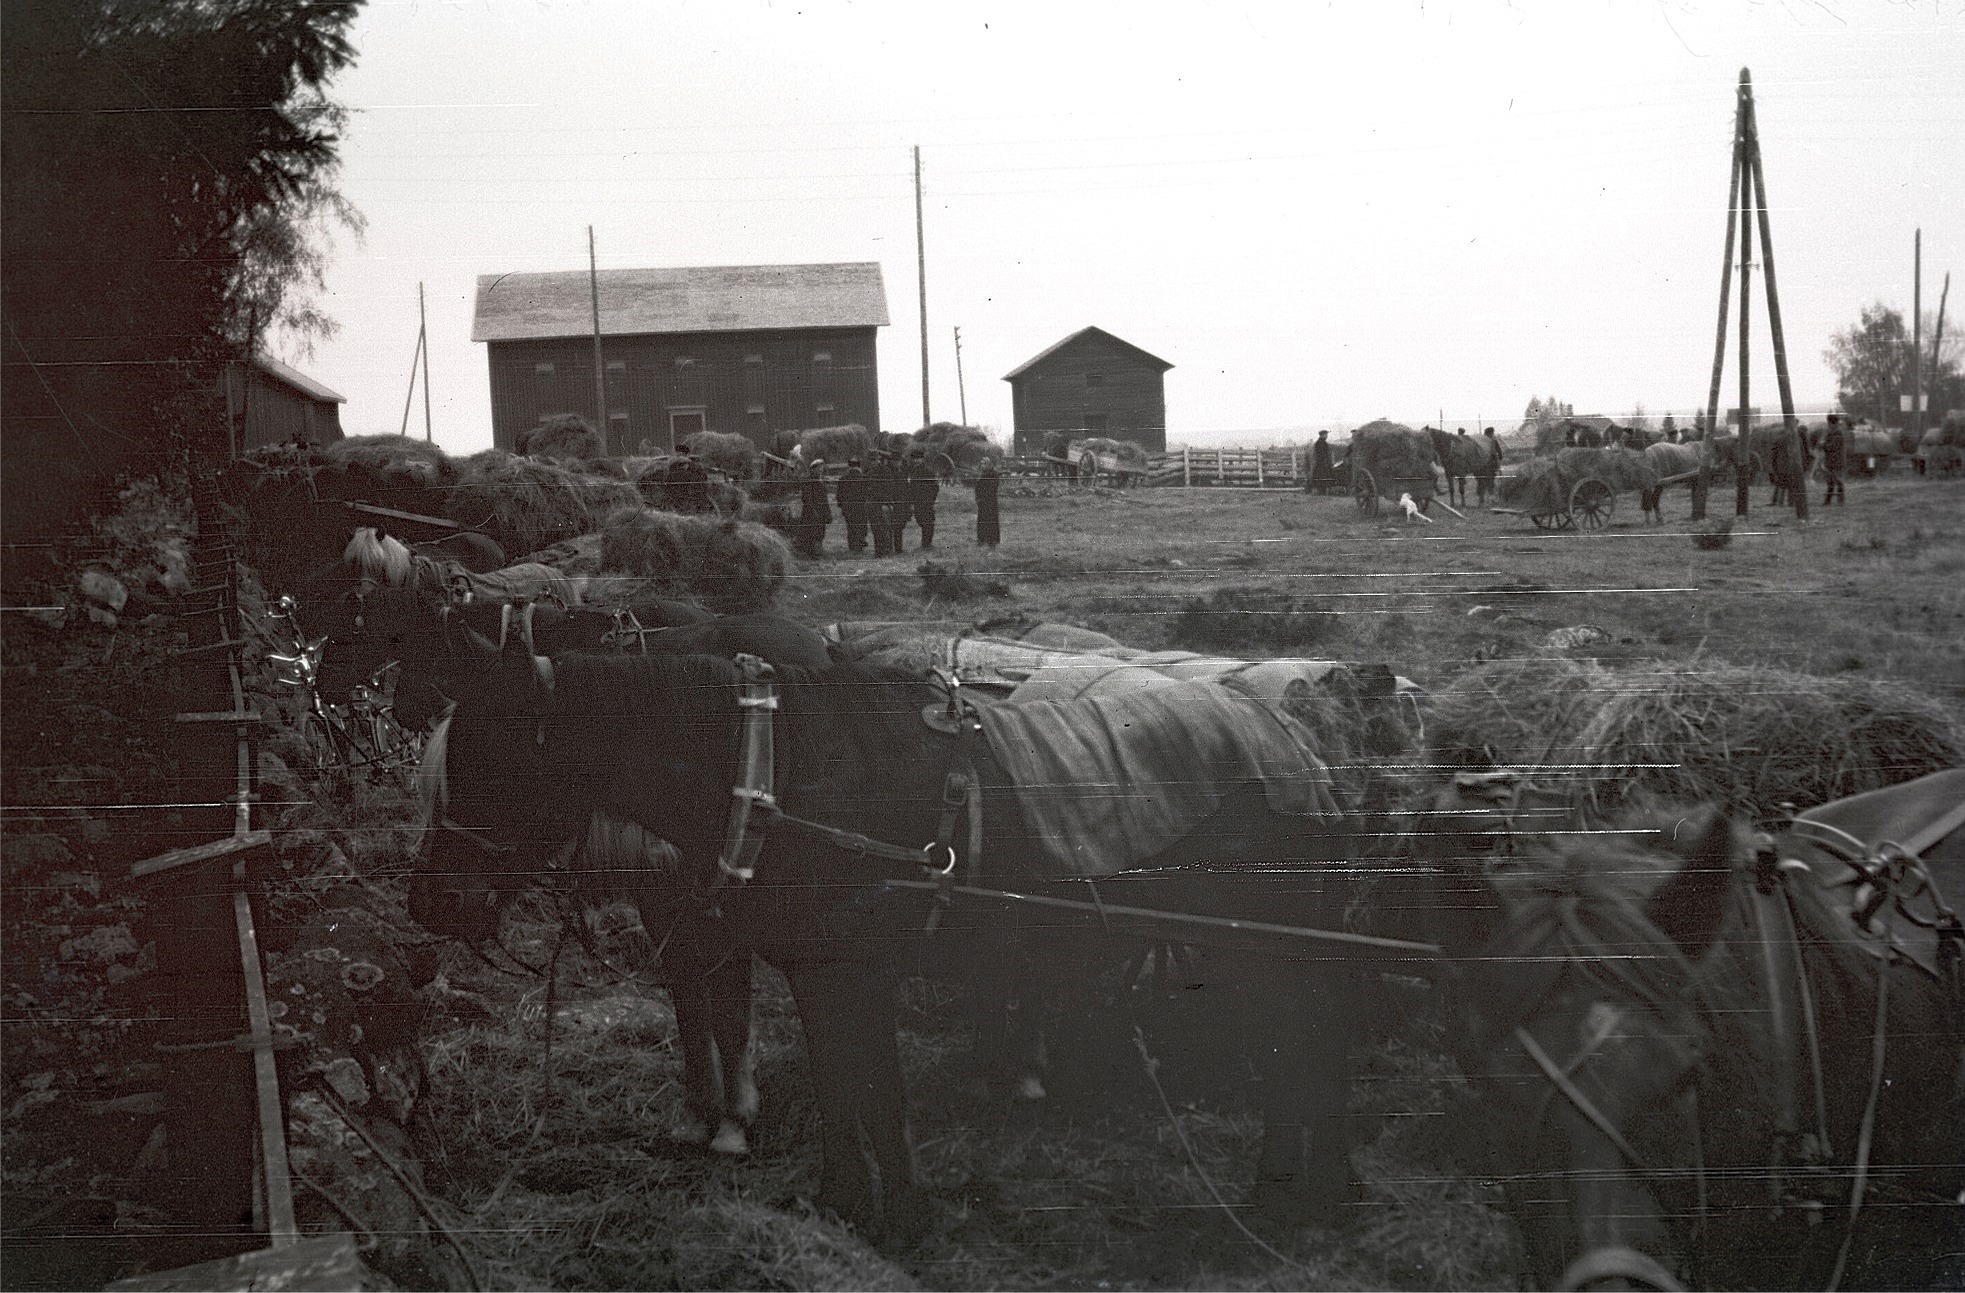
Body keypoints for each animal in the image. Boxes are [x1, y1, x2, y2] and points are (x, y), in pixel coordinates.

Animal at [406, 648, 1375, 1241]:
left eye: (490, 766)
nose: (428, 905)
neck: (779, 775)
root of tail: (1296, 747)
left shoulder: (852, 969)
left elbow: (875, 1092)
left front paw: (899, 1213)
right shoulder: (819, 970)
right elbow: (846, 1090)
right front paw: (846, 1205)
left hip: (1257, 947)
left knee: (1304, 1046)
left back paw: (1295, 1193)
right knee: (1302, 1048)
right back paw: (1302, 1189)